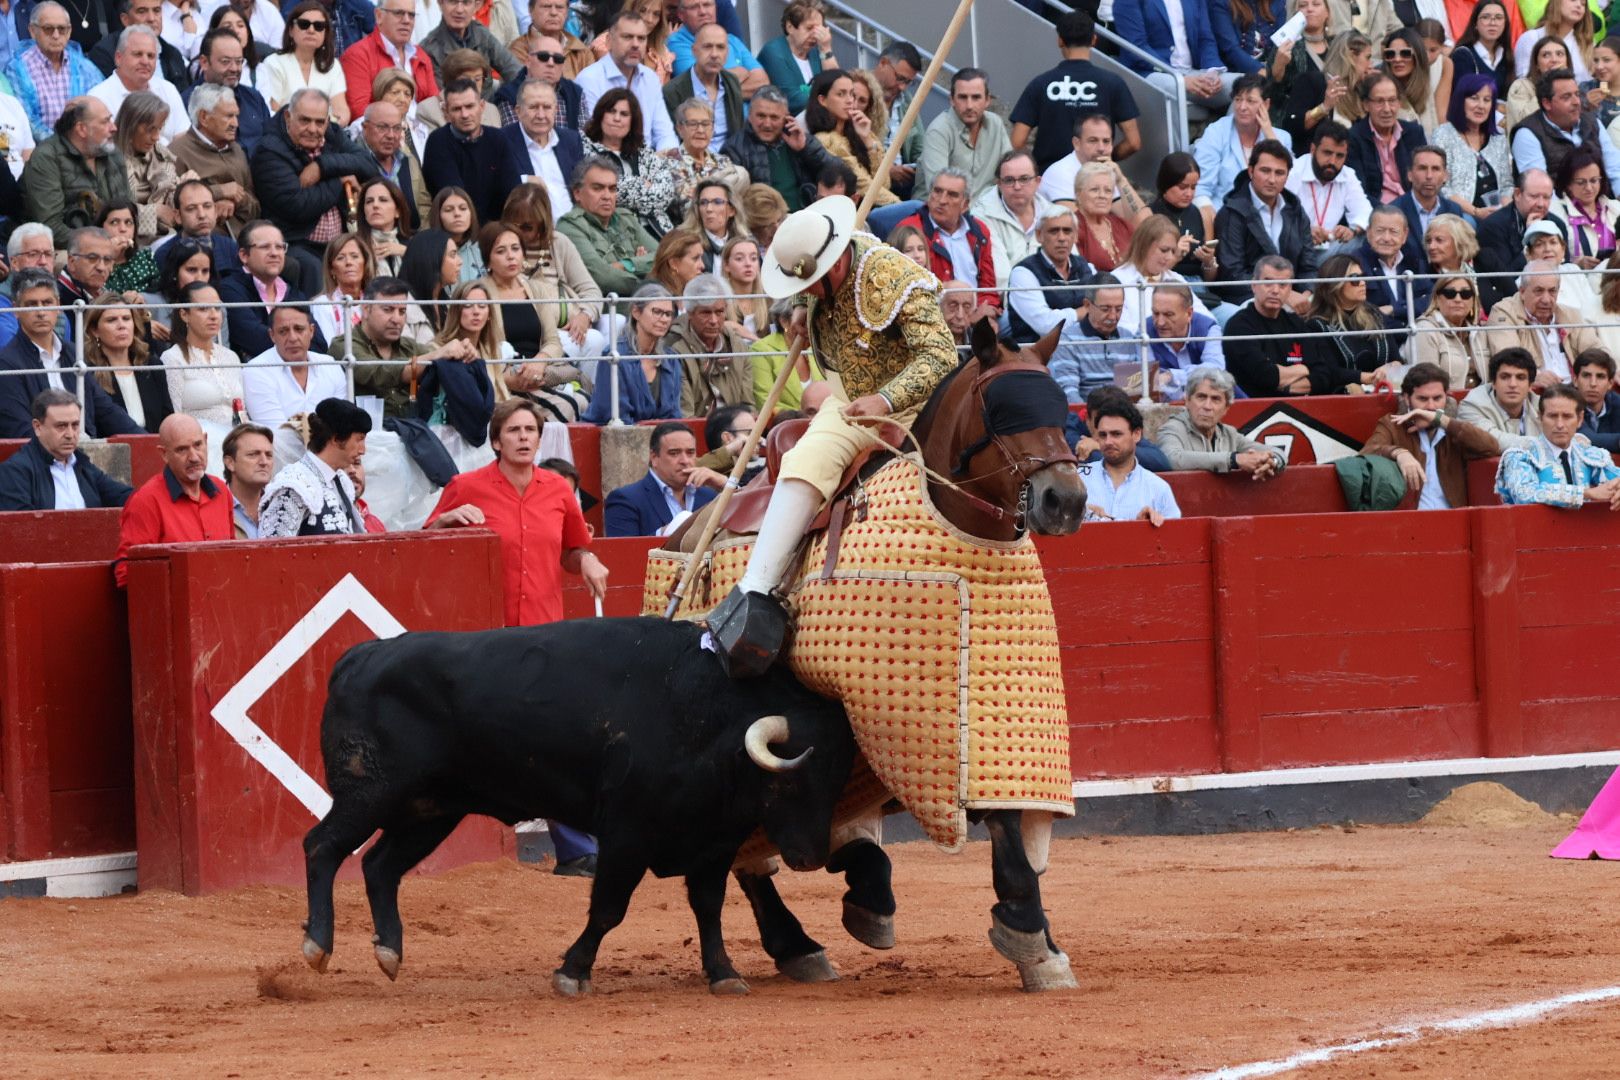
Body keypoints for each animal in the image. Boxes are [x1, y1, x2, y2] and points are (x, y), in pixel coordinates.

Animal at [304, 615, 861, 997]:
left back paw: (389, 952)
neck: (702, 712)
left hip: (432, 810)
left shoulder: (714, 843)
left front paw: (723, 973)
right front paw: (572, 972)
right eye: (791, 780)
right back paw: (317, 946)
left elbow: (709, 907)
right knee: (322, 847)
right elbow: (609, 908)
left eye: (837, 780)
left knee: (379, 866)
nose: (811, 858)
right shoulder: (626, 834)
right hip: (369, 792)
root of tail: (361, 656)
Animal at [648, 314, 1088, 990]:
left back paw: (830, 916)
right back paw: (795, 943)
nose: (1064, 501)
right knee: (742, 848)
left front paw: (1040, 944)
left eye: (1062, 408)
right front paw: (1026, 932)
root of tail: (686, 531)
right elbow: (997, 823)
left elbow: (1006, 815)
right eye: (1001, 409)